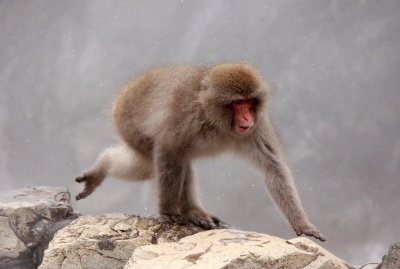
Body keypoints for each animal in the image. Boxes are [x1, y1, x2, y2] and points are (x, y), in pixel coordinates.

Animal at [75, 62, 324, 241]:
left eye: (250, 102)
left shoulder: (257, 125)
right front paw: (167, 212)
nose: (247, 117)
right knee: (156, 164)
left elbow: (273, 166)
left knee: (177, 163)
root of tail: (127, 88)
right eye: (237, 103)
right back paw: (102, 166)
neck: (215, 118)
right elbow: (167, 150)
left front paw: (302, 224)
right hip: (128, 124)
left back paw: (193, 211)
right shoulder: (185, 115)